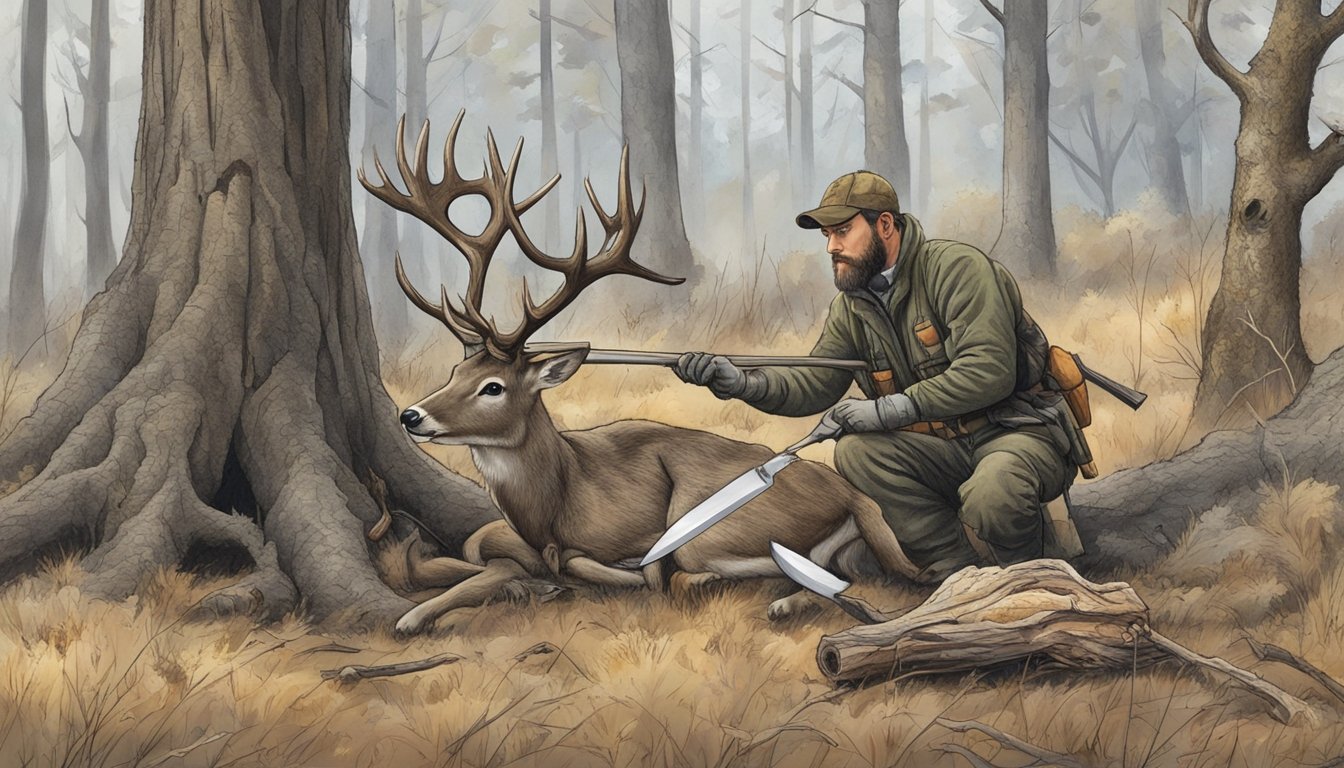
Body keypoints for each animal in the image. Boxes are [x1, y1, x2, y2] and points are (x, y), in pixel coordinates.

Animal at [357, 110, 924, 634]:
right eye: (456, 369)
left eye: (492, 387)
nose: (411, 415)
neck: (556, 496)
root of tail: (855, 497)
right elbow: (475, 547)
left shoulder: (629, 530)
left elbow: (587, 564)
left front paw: (423, 614)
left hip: (711, 522)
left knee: (763, 569)